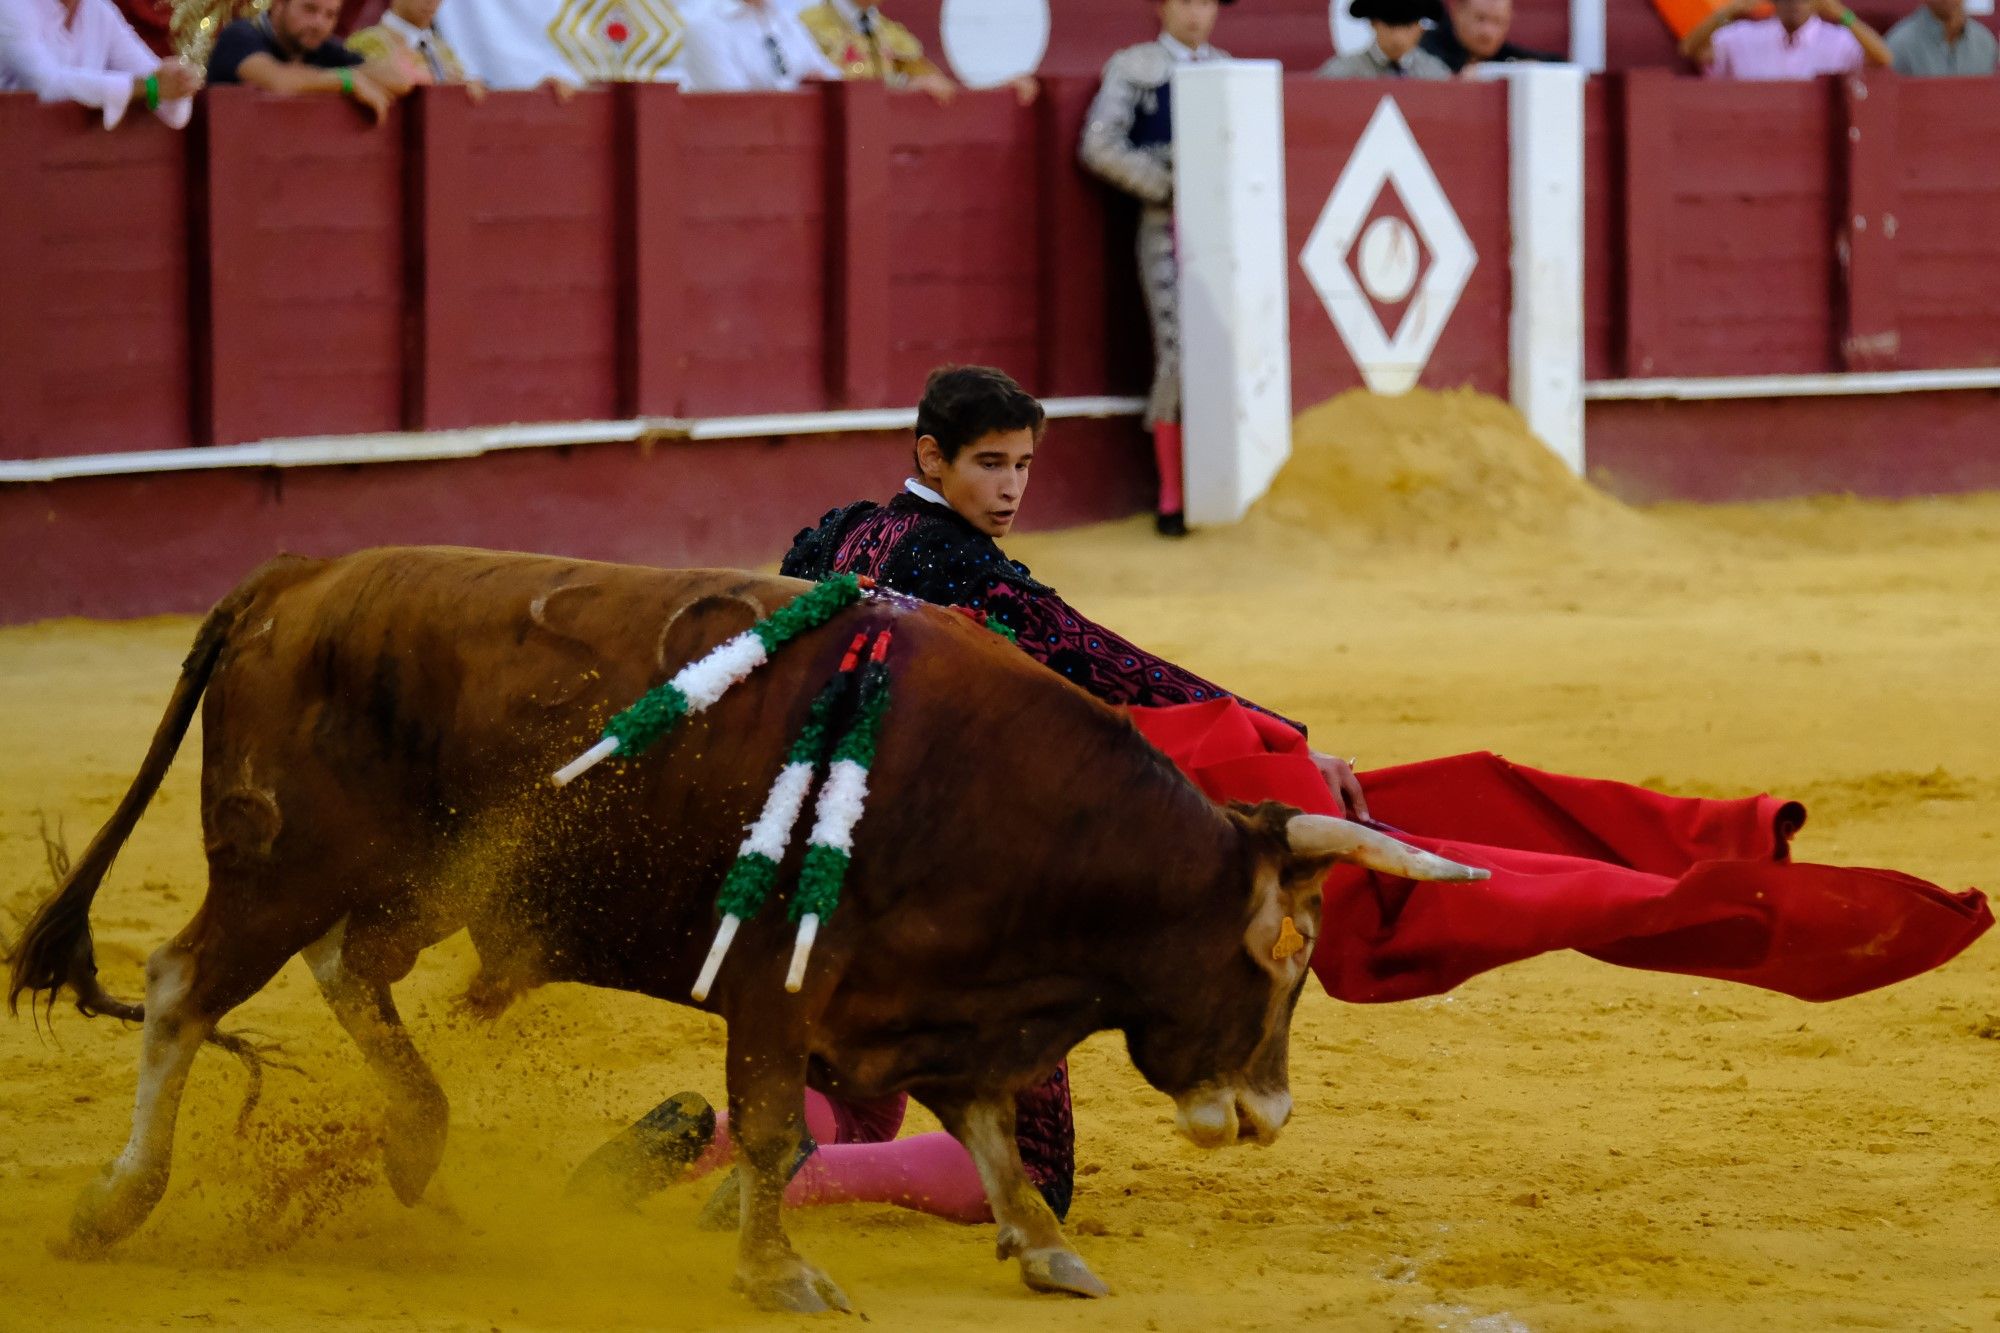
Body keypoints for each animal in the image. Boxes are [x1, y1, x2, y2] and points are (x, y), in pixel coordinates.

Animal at [7, 544, 1480, 1304]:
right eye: (1290, 953)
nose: (1268, 1113)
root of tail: (291, 580)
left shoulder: (937, 1001)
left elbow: (988, 1125)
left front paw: (1046, 1248)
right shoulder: (781, 986)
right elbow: (776, 1130)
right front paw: (781, 1274)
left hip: (412, 882)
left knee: (347, 968)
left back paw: (423, 1146)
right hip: (281, 865)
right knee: (185, 981)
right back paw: (115, 1202)